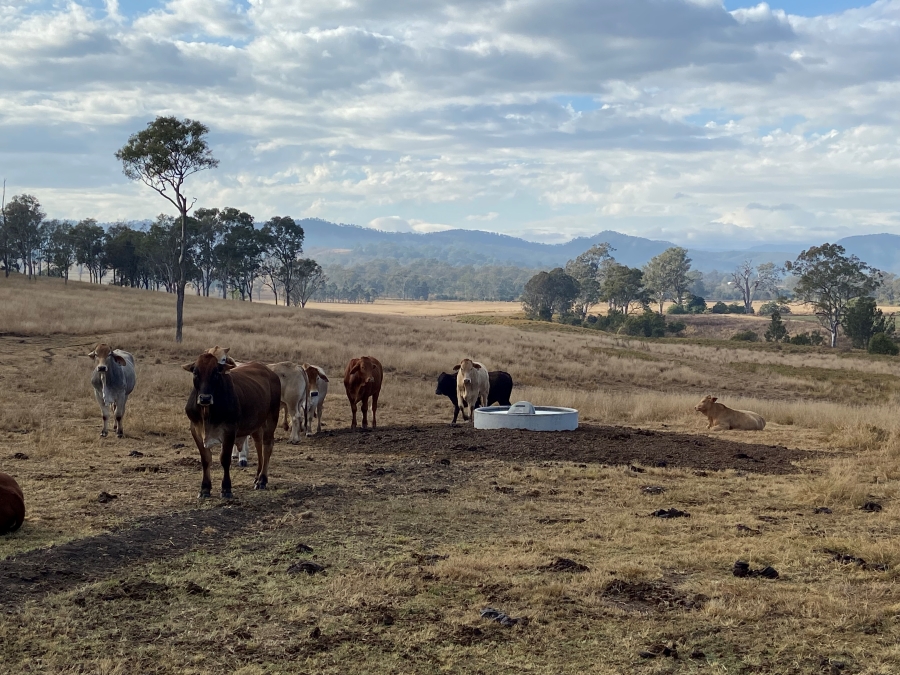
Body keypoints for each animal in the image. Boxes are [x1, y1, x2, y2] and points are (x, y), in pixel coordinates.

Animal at [183, 349, 281, 498]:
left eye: (216, 372)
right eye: (195, 372)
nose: (205, 398)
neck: (207, 413)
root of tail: (270, 372)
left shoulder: (229, 431)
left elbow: (225, 459)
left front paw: (226, 489)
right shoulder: (195, 430)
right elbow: (205, 459)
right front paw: (205, 488)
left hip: (271, 418)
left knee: (267, 446)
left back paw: (262, 480)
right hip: (256, 424)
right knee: (259, 445)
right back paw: (257, 477)